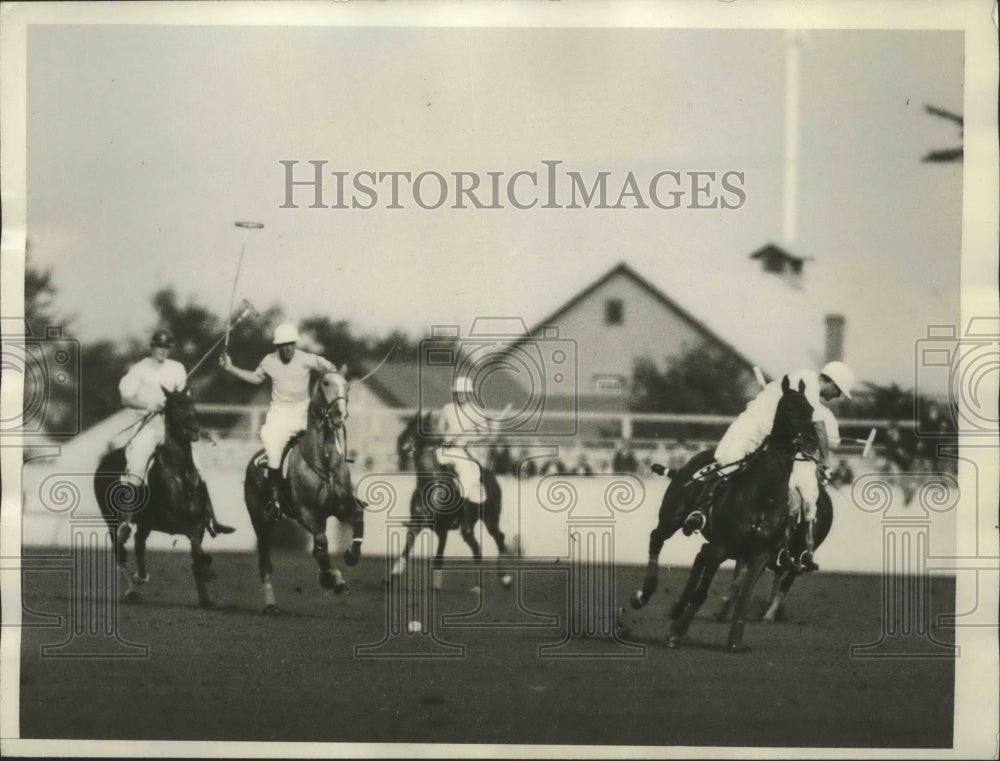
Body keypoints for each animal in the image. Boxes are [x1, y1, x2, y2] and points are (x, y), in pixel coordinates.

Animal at [93, 386, 217, 604]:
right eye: (172, 407)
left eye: (192, 404)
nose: (194, 429)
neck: (180, 474)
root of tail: (105, 459)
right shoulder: (169, 521)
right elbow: (194, 546)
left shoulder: (199, 523)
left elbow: (196, 552)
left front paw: (206, 597)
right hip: (112, 519)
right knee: (121, 550)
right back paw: (132, 590)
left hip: (143, 523)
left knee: (138, 544)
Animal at [244, 368, 366, 612]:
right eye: (326, 383)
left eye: (347, 386)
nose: (339, 414)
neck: (324, 461)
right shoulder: (307, 513)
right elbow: (321, 543)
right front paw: (328, 578)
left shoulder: (342, 508)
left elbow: (357, 517)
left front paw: (350, 556)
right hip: (261, 522)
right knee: (265, 563)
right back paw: (271, 605)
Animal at [390, 412, 512, 592]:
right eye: (407, 425)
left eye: (421, 427)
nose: (401, 444)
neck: (431, 487)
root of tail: (491, 475)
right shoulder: (416, 525)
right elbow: (405, 551)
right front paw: (393, 575)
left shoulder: (443, 530)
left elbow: (438, 558)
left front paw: (435, 585)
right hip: (469, 528)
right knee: (477, 548)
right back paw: (478, 586)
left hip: (491, 517)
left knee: (499, 538)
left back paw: (505, 578)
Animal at [632, 374, 820, 648]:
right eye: (787, 408)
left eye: (811, 410)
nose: (810, 442)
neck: (762, 496)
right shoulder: (722, 547)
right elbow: (702, 594)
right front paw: (676, 632)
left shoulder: (760, 555)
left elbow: (743, 596)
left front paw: (735, 639)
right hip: (673, 516)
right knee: (657, 538)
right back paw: (643, 594)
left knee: (699, 555)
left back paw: (677, 607)